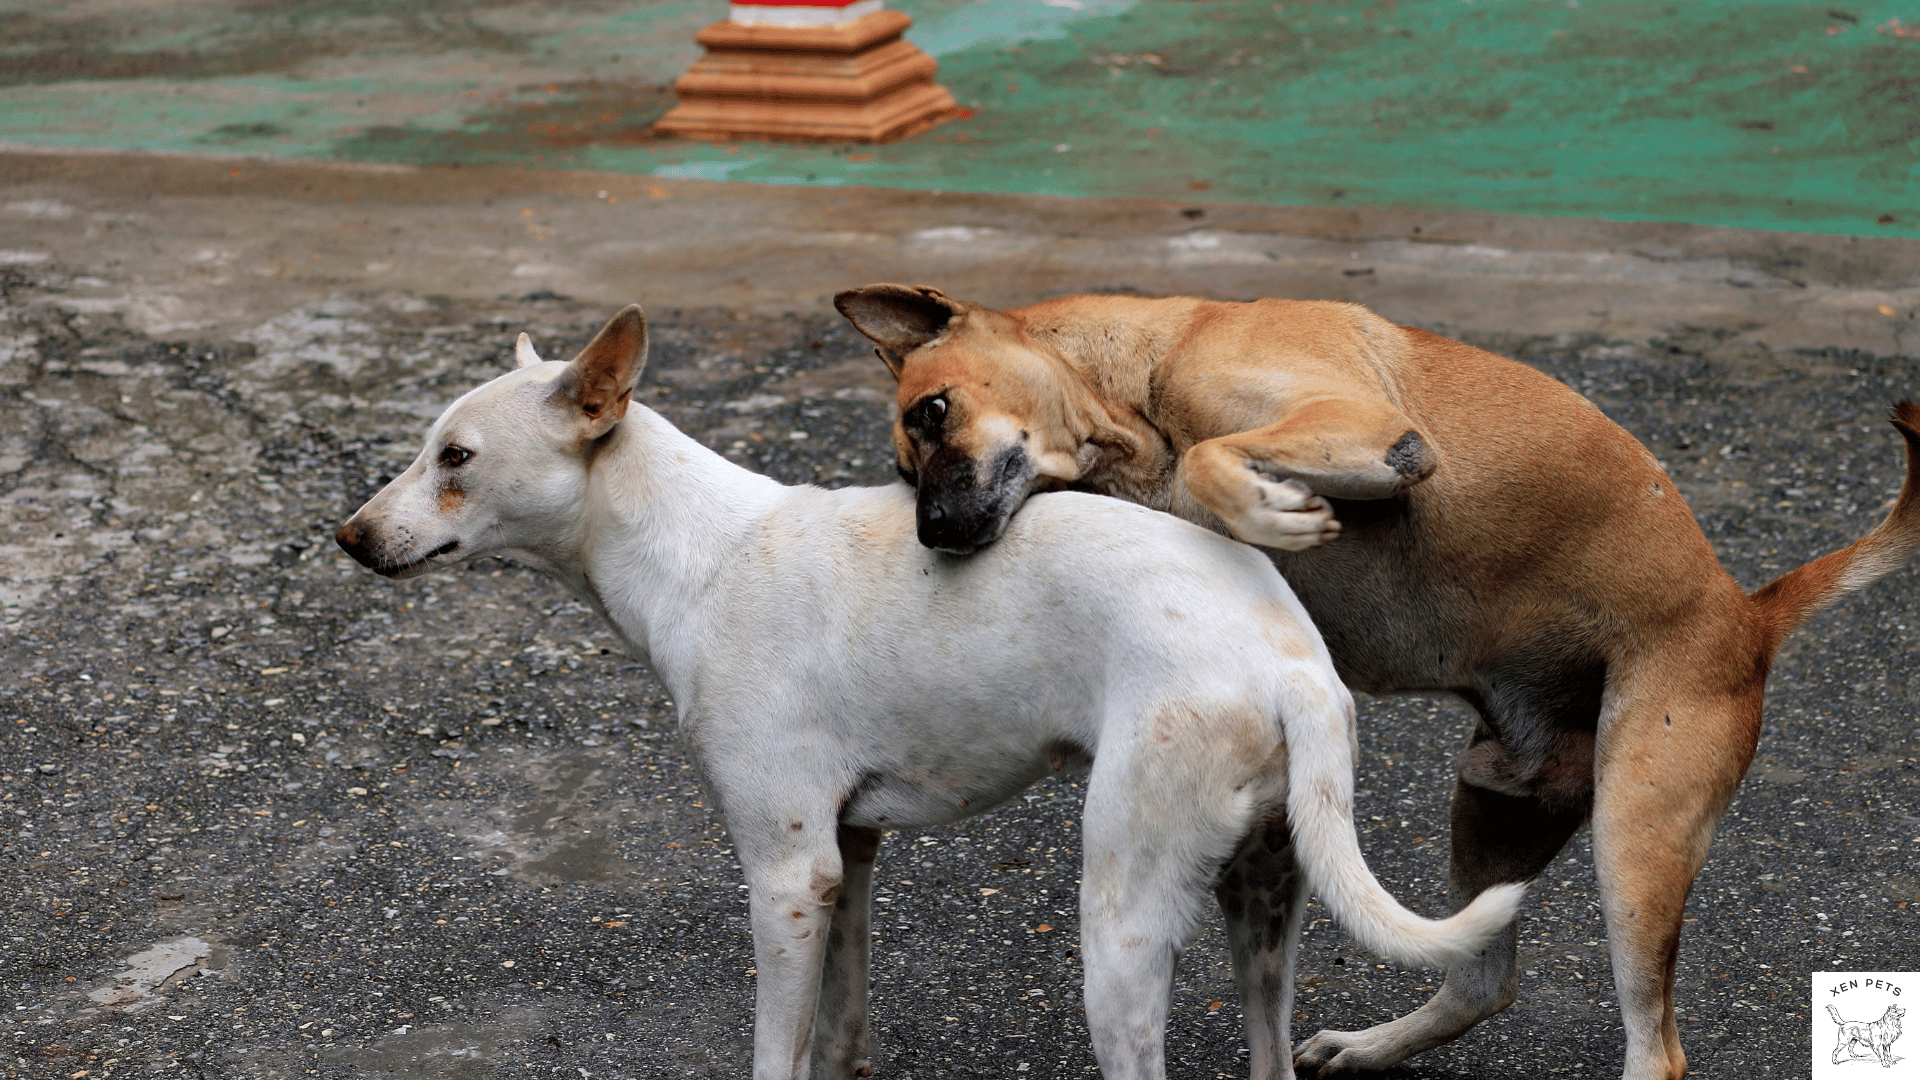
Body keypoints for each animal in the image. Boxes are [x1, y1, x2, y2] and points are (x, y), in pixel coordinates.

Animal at [337, 305, 1520, 1076]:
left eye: (456, 456)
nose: (346, 538)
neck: (702, 554)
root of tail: (1291, 663)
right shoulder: (849, 859)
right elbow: (840, 1033)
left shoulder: (787, 876)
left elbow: (775, 1051)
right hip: (1262, 909)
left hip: (1122, 930)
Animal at [829, 286, 1920, 1076]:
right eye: (903, 468)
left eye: (933, 411)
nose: (935, 533)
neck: (1138, 377)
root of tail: (1749, 614)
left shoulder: (1360, 425)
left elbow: (1217, 458)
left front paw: (1268, 507)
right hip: (1491, 810)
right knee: (1480, 981)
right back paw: (1366, 1048)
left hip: (1636, 838)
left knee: (1656, 1052)